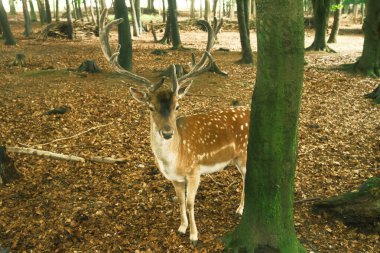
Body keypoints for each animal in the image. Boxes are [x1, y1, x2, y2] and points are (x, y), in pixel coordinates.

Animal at [99, 10, 251, 245]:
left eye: (177, 105)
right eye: (150, 107)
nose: (168, 132)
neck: (174, 160)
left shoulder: (195, 171)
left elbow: (189, 203)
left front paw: (194, 236)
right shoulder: (175, 179)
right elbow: (180, 201)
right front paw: (181, 227)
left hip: (244, 154)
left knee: (247, 177)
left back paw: (241, 209)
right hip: (235, 158)